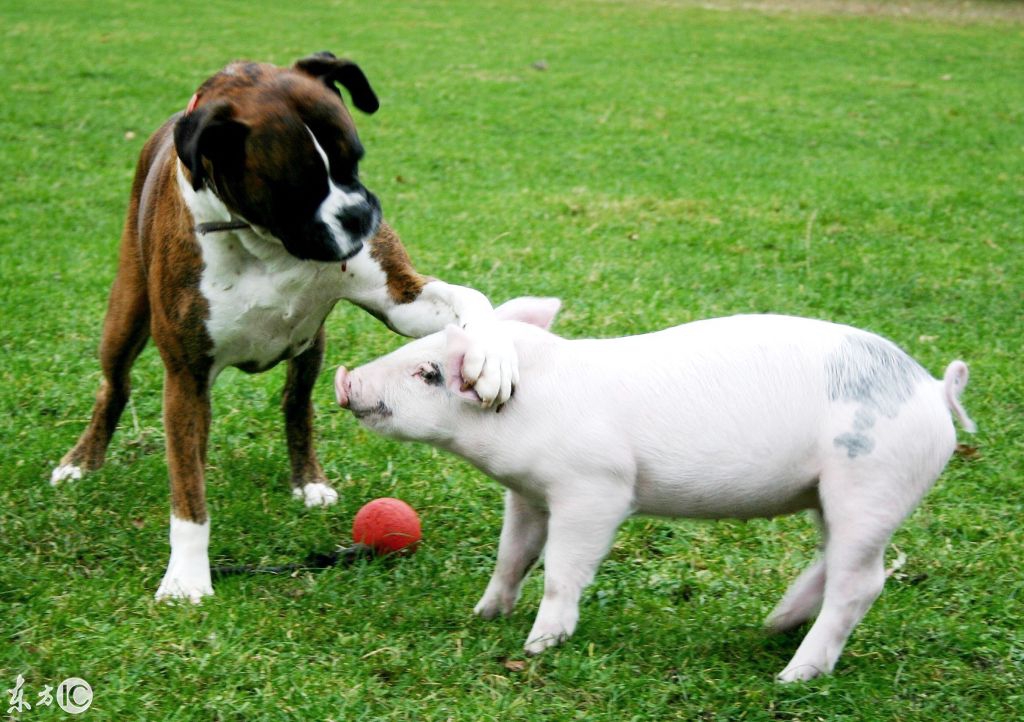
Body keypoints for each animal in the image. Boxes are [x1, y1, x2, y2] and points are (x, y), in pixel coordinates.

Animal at [50, 52, 516, 602]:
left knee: (297, 405)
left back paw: (308, 480)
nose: (359, 213)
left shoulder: (401, 298)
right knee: (115, 387)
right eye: (298, 186)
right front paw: (186, 578)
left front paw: (491, 358)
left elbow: (472, 298)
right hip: (126, 314)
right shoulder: (185, 376)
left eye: (355, 160)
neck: (265, 241)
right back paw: (81, 461)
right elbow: (187, 493)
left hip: (310, 344)